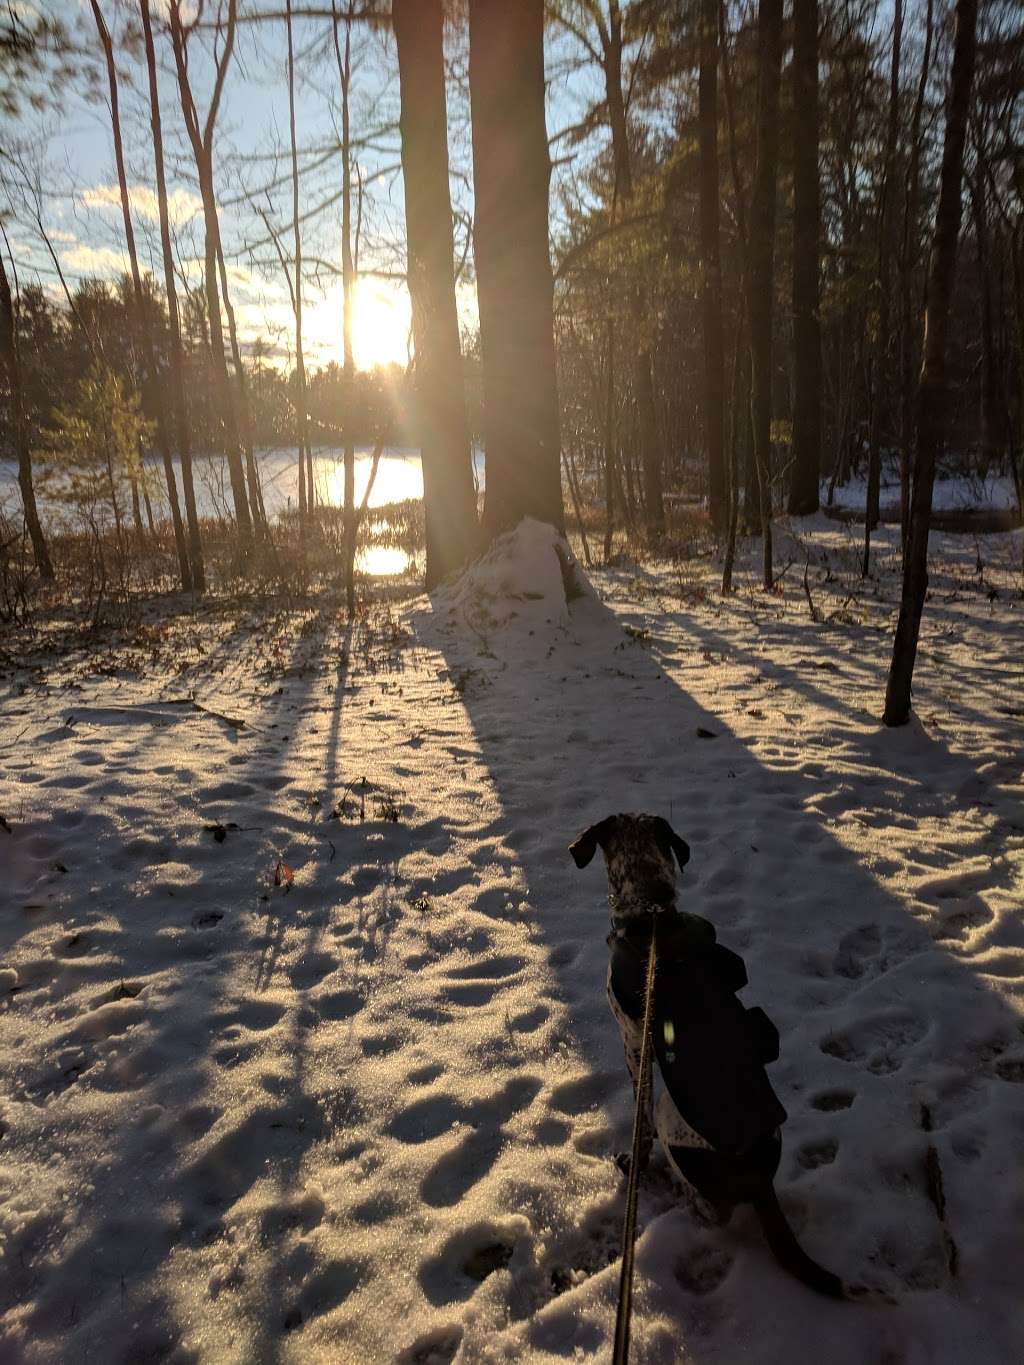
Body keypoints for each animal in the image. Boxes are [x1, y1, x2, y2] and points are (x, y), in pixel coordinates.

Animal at [570, 808, 851, 1299]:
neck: (651, 912)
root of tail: (758, 1178)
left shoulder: (633, 1041)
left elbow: (639, 1123)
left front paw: (635, 1164)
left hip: (671, 1113)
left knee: (711, 1211)